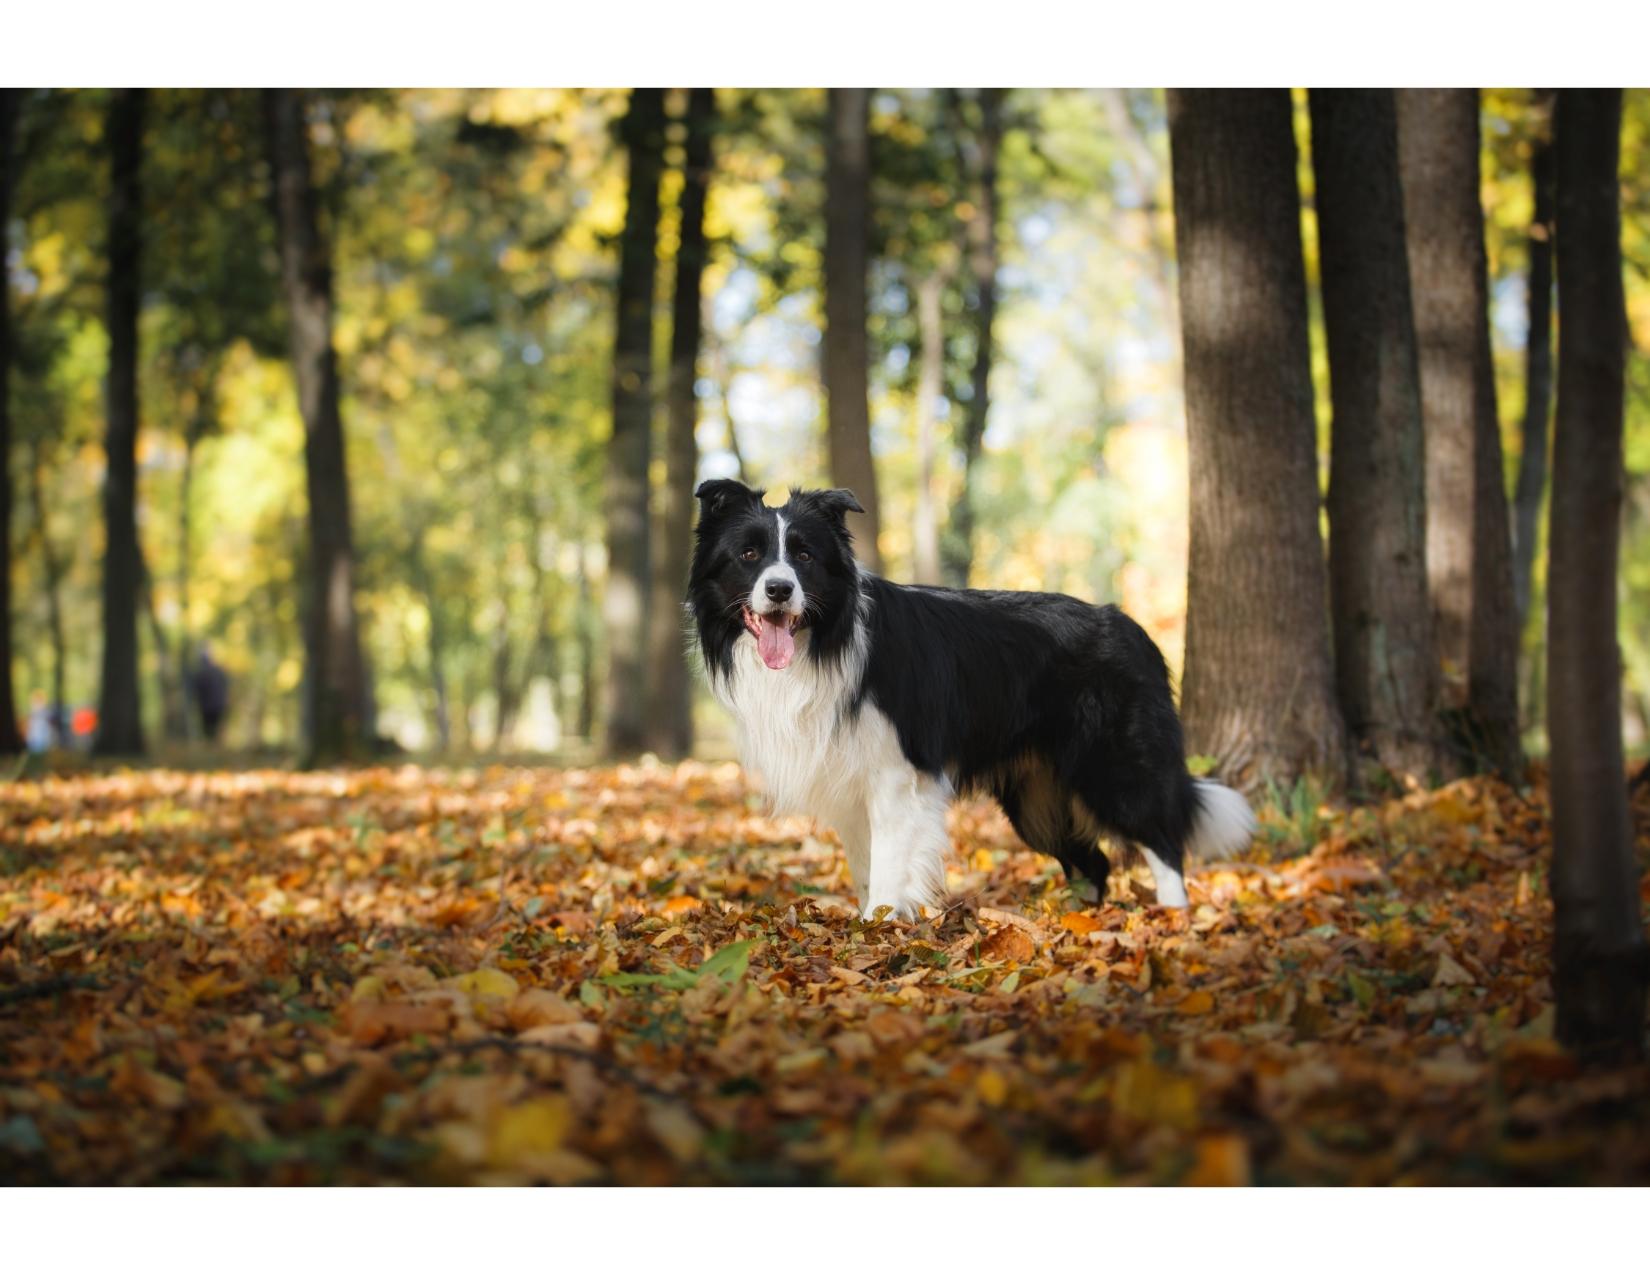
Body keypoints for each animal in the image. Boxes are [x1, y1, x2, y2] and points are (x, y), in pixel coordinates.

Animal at [683, 478, 1247, 917]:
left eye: (804, 556)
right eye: (749, 555)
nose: (779, 590)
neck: (822, 642)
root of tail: (1131, 626)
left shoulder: (896, 775)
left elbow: (889, 867)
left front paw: (879, 929)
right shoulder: (848, 781)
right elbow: (866, 866)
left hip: (1113, 765)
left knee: (1163, 842)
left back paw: (1172, 920)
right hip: (1036, 799)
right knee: (1095, 862)